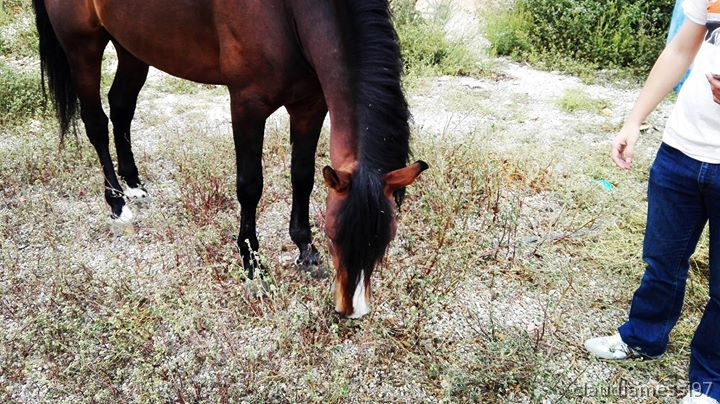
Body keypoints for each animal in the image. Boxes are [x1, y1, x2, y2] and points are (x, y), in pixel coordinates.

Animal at [32, 0, 428, 318]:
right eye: (334, 235)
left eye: (385, 240)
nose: (352, 310)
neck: (291, 11)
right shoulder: (247, 104)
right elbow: (250, 185)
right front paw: (253, 266)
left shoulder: (310, 104)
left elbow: (302, 175)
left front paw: (304, 249)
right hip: (82, 45)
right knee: (96, 122)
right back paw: (116, 203)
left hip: (131, 44)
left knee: (121, 105)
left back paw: (135, 186)